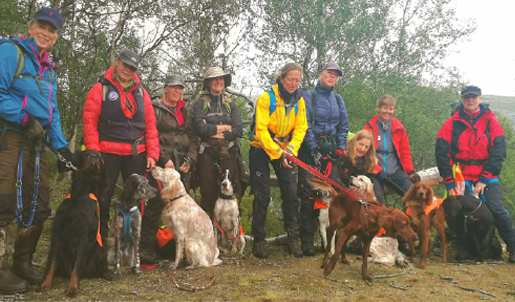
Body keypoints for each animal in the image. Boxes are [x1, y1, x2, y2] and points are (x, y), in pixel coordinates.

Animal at [40, 150, 108, 296]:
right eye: (85, 153)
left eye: (99, 156)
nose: (94, 157)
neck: (79, 194)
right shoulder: (58, 232)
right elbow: (51, 262)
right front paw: (45, 284)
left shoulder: (83, 235)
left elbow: (77, 265)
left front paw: (72, 288)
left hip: (99, 249)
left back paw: (107, 273)